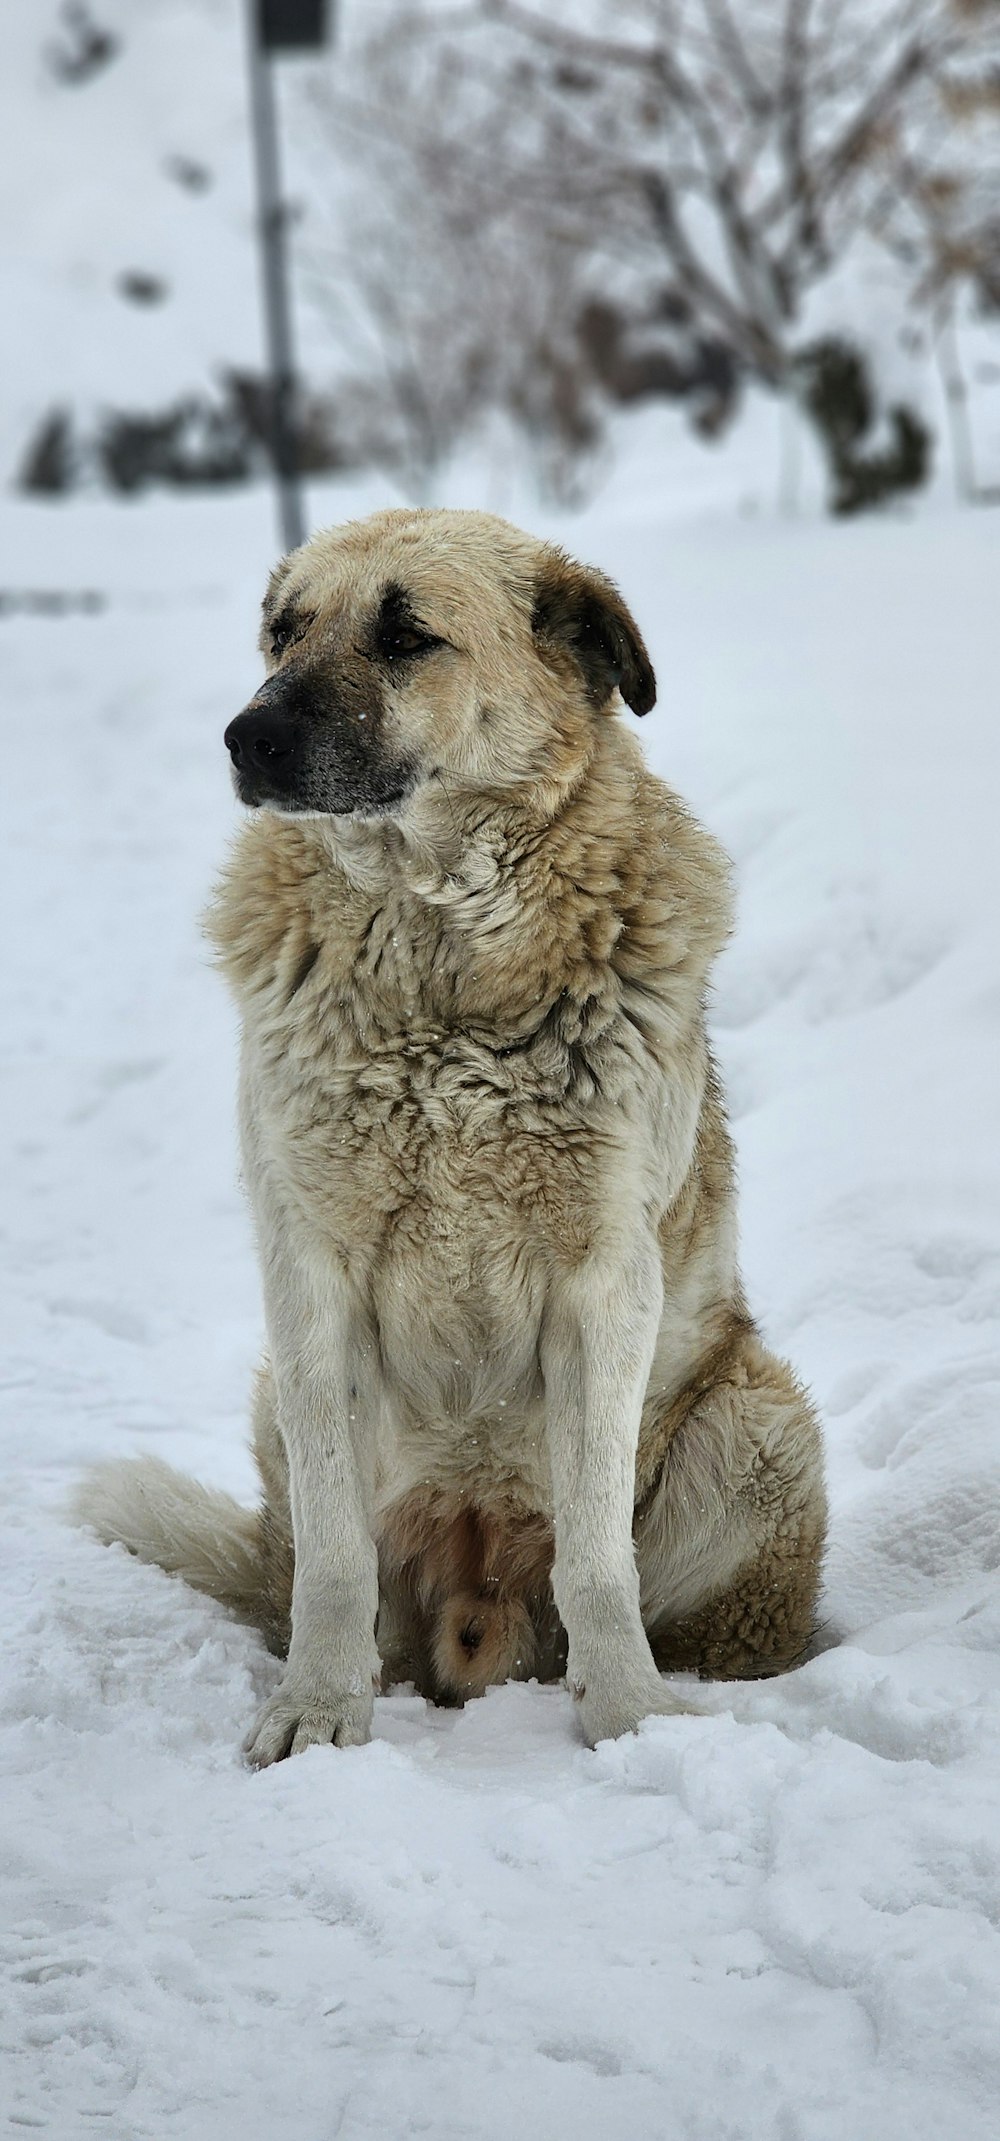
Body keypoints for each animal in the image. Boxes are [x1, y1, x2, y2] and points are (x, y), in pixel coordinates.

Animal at [76, 509, 830, 1764]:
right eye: (284, 629)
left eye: (406, 634)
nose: (245, 736)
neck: (436, 956)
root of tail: (481, 1624)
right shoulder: (311, 1281)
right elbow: (334, 1561)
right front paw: (317, 1709)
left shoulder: (604, 1282)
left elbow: (600, 1561)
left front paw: (628, 1717)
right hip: (280, 1410)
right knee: (318, 1573)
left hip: (756, 1418)